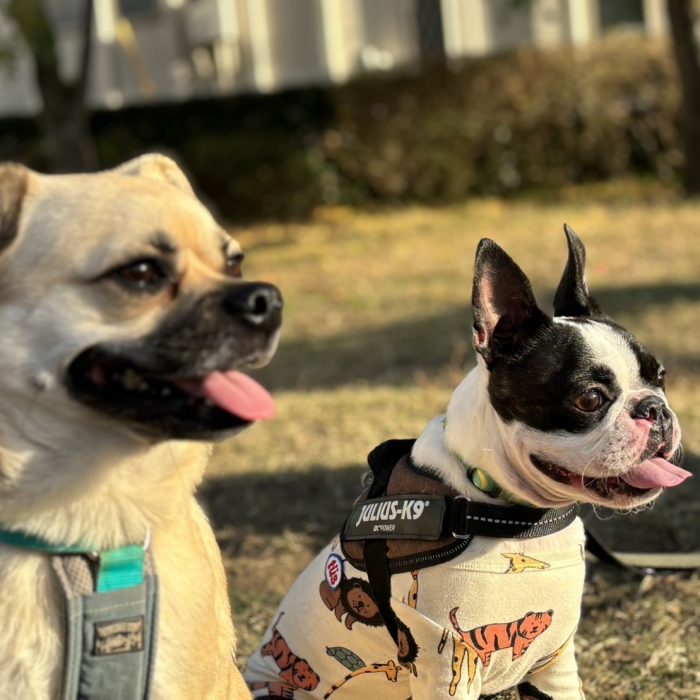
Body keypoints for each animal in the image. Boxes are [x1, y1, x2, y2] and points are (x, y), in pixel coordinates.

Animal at [245, 226, 688, 700]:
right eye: (589, 399)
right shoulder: (443, 665)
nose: (655, 409)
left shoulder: (555, 661)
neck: (510, 514)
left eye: (660, 377)